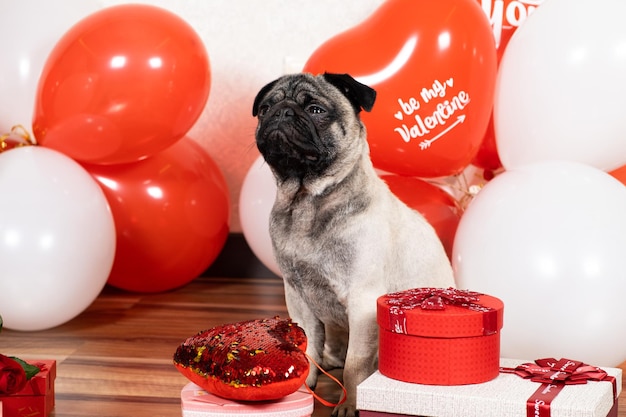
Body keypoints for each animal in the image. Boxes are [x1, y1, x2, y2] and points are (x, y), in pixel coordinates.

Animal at [252, 73, 454, 416]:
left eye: (316, 110)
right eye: (265, 108)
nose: (282, 112)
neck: (306, 200)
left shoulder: (362, 301)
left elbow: (355, 366)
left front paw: (349, 404)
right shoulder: (299, 300)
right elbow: (307, 350)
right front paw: (303, 389)